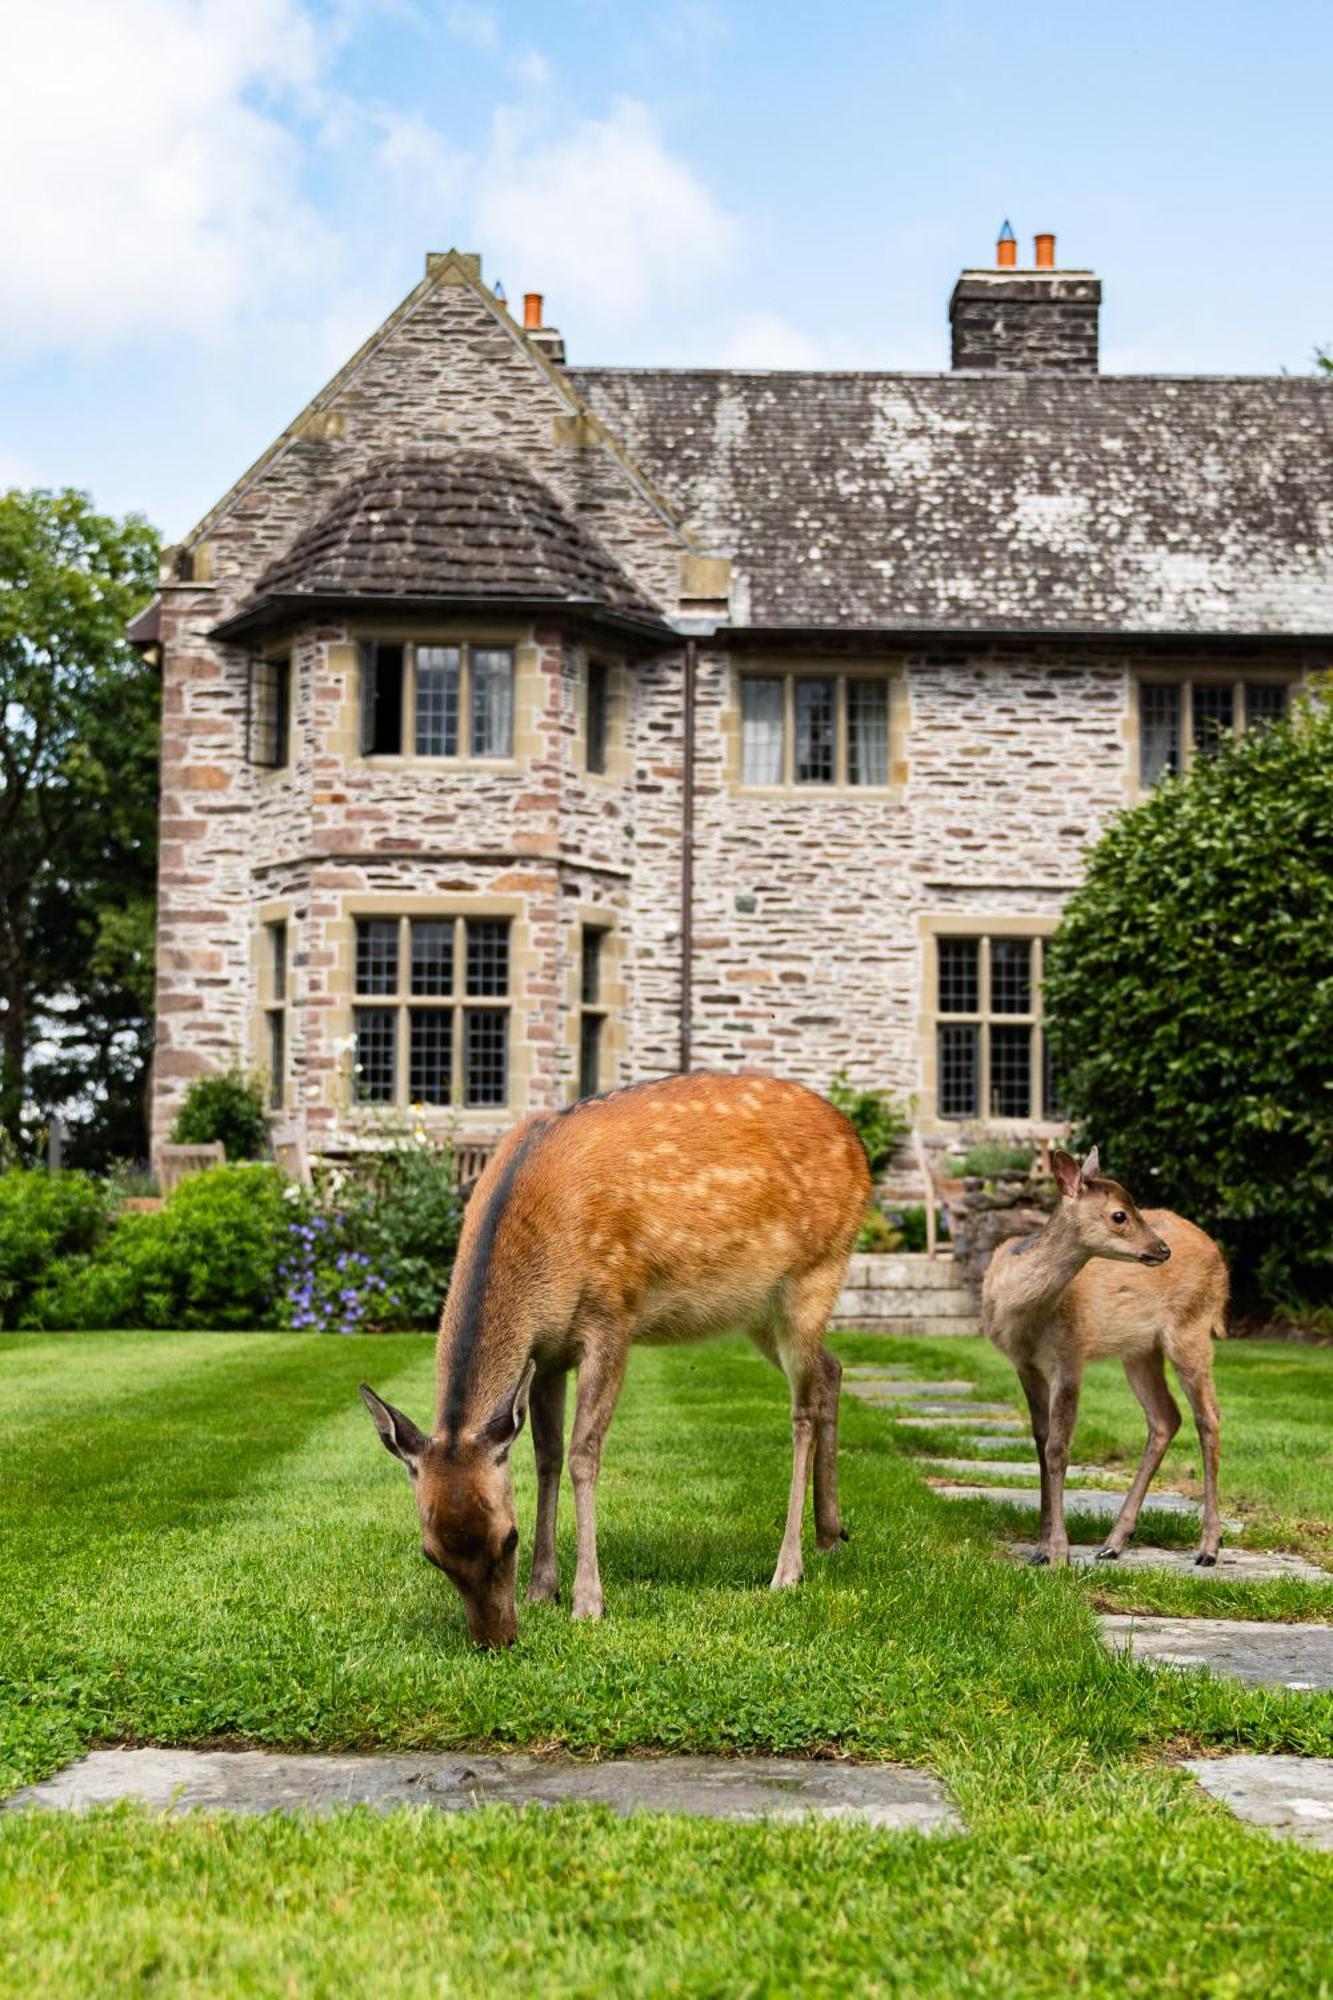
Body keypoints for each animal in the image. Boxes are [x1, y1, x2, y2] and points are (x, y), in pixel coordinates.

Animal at [358, 1072, 868, 1648]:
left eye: (508, 1537)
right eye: (431, 1553)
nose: (497, 1639)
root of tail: (857, 1144)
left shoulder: (611, 1317)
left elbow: (583, 1454)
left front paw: (587, 1602)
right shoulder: (547, 1351)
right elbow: (546, 1455)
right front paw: (542, 1588)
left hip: (815, 1274)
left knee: (802, 1410)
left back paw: (788, 1567)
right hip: (758, 1311)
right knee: (831, 1369)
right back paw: (831, 1534)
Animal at [976, 1152, 1224, 1568]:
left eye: (1135, 1206)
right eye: (1119, 1215)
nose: (1162, 1249)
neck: (1024, 1315)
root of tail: (1218, 1254)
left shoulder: (1070, 1354)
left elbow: (1058, 1448)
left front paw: (1058, 1552)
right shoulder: (1025, 1365)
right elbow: (1040, 1441)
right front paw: (1041, 1547)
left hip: (1191, 1326)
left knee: (1208, 1417)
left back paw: (1209, 1547)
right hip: (1140, 1350)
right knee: (1165, 1417)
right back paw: (1113, 1542)